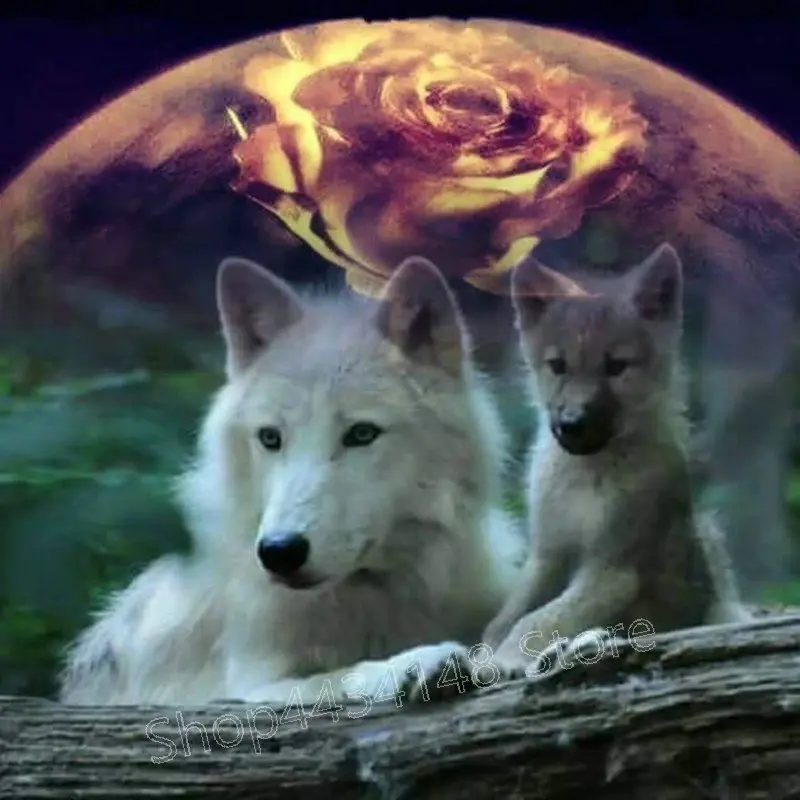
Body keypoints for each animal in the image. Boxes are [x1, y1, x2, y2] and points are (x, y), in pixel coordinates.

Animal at [59, 255, 524, 707]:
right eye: (270, 438)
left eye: (361, 434)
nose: (279, 552)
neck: (374, 597)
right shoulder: (247, 688)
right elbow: (335, 676)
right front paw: (412, 663)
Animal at [481, 242, 751, 680]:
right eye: (558, 366)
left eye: (616, 366)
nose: (572, 425)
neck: (587, 478)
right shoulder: (547, 555)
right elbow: (509, 615)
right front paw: (483, 654)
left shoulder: (613, 570)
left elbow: (539, 619)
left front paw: (503, 660)